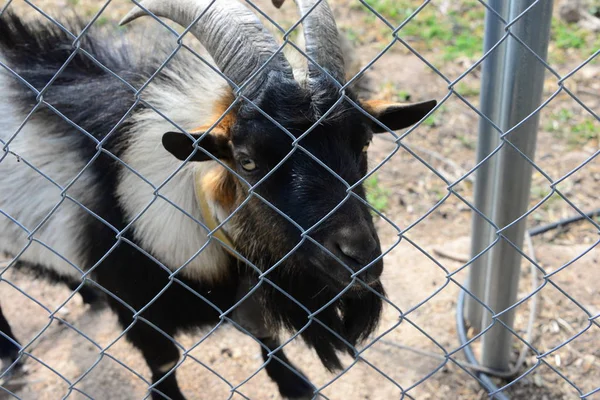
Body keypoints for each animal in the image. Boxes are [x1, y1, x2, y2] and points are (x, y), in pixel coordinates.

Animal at [0, 0, 434, 396]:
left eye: (363, 144)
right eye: (247, 161)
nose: (360, 257)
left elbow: (267, 336)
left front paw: (295, 384)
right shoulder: (140, 311)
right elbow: (165, 364)